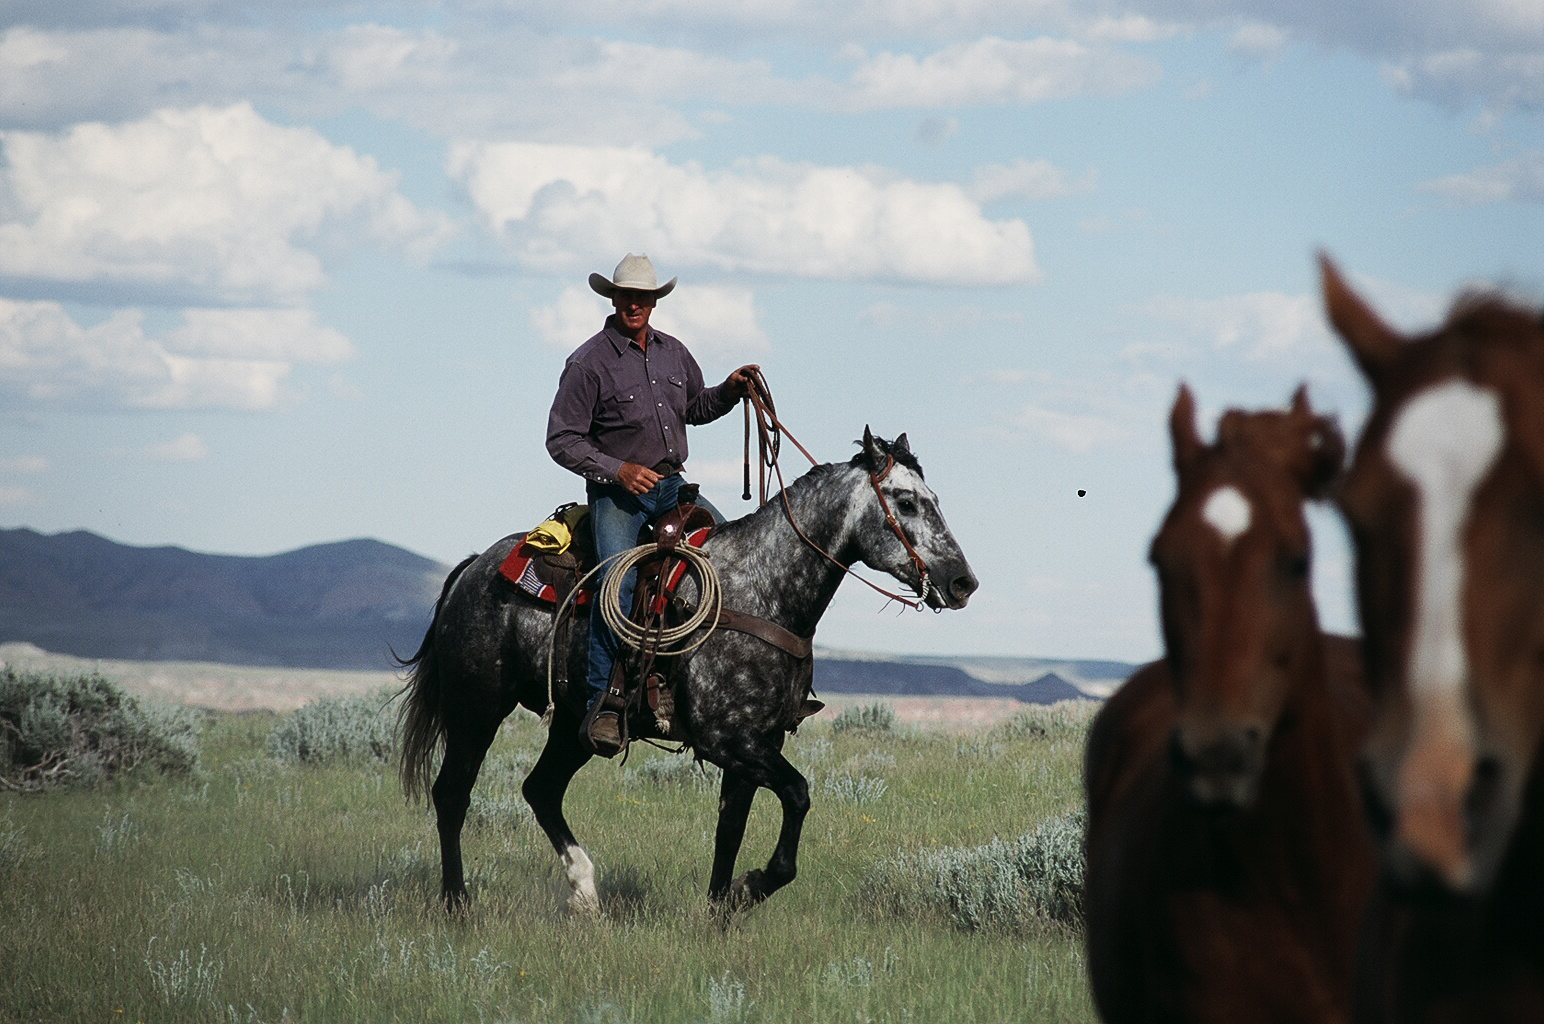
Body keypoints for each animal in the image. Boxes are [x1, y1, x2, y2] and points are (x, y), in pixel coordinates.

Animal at [398, 432, 975, 914]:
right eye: (906, 502)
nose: (962, 582)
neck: (761, 590)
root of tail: (474, 567)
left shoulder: (757, 745)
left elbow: (731, 829)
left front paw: (722, 909)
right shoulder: (727, 740)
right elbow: (797, 794)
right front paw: (753, 886)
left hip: (573, 725)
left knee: (540, 790)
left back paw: (586, 894)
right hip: (476, 708)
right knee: (452, 794)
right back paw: (458, 904)